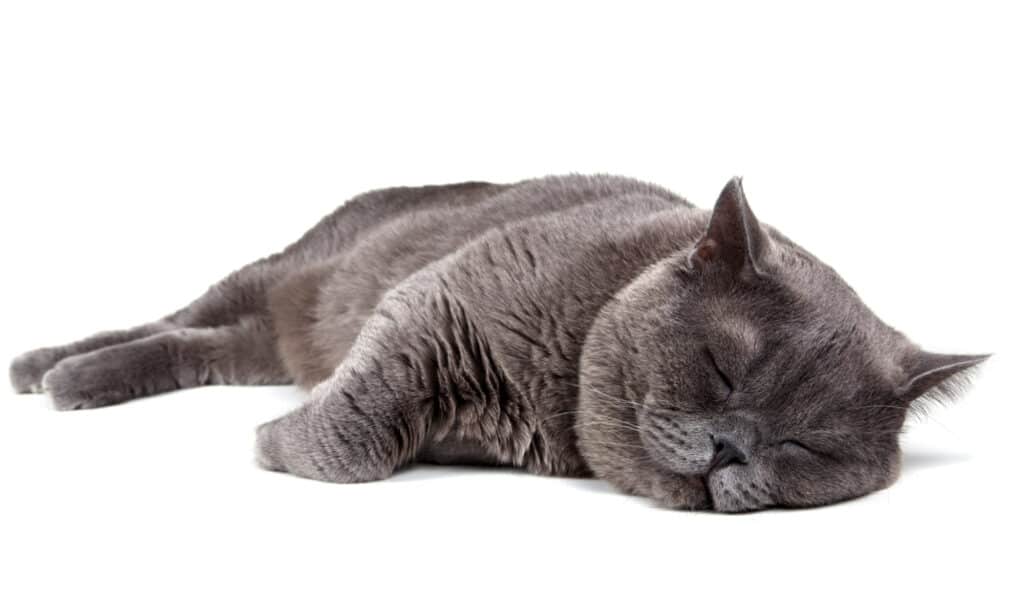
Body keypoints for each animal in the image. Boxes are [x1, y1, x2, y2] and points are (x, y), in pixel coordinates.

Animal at [6, 174, 983, 511]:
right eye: (721, 368)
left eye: (806, 446)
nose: (730, 450)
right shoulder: (434, 303)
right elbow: (354, 438)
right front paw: (280, 444)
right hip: (287, 268)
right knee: (169, 316)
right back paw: (51, 368)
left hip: (262, 339)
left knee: (197, 344)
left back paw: (76, 376)